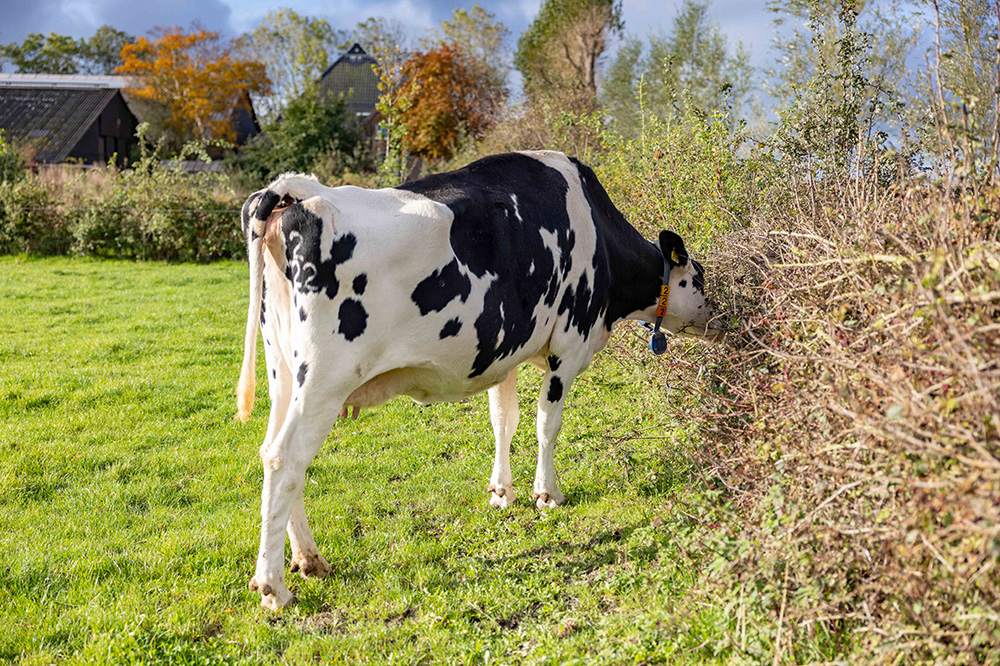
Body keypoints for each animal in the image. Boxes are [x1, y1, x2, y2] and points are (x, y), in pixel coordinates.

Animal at [235, 150, 722, 609]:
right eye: (699, 279)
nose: (720, 318)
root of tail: (299, 195)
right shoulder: (569, 345)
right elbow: (547, 424)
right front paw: (548, 494)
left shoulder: (503, 354)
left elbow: (503, 421)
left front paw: (502, 492)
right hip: (324, 378)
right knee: (285, 459)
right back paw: (274, 587)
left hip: (284, 372)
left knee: (274, 452)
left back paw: (309, 560)